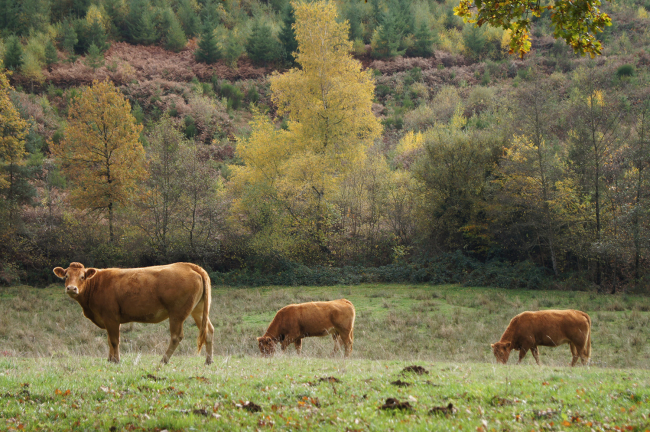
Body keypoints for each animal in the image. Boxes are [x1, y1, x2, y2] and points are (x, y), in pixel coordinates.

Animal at [53, 262, 214, 365]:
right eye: (66, 276)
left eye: (82, 277)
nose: (71, 288)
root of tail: (188, 265)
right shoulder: (107, 319)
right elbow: (109, 340)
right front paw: (110, 360)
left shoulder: (110, 317)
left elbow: (114, 340)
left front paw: (116, 361)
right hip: (198, 310)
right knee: (209, 330)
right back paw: (208, 361)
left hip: (177, 313)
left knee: (176, 336)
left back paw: (163, 360)